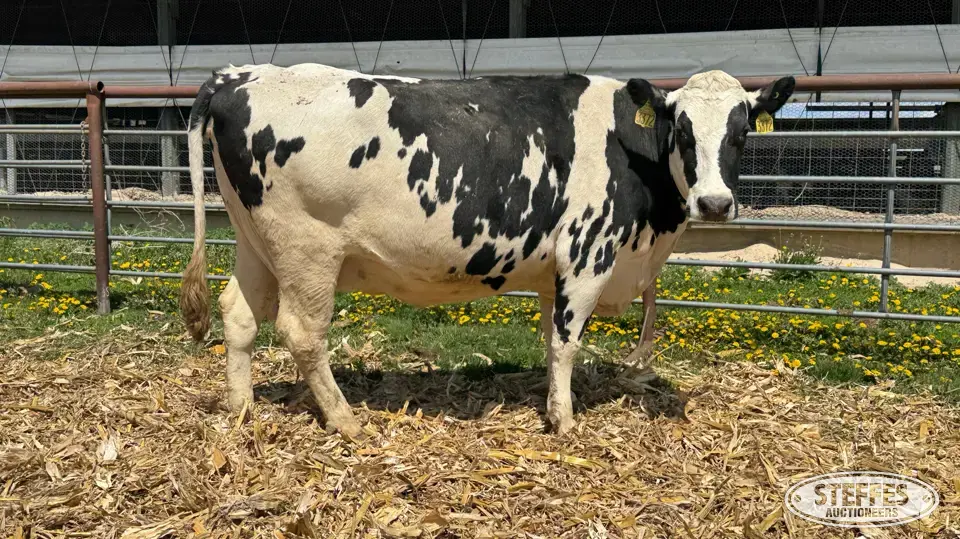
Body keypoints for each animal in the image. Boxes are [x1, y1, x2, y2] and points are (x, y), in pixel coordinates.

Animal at [179, 63, 794, 438]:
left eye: (742, 133)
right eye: (683, 131)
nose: (714, 203)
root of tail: (239, 75)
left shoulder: (555, 272)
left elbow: (550, 339)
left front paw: (550, 403)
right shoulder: (586, 255)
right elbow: (566, 343)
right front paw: (564, 420)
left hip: (255, 242)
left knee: (239, 316)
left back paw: (241, 407)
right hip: (306, 251)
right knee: (303, 333)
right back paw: (344, 418)